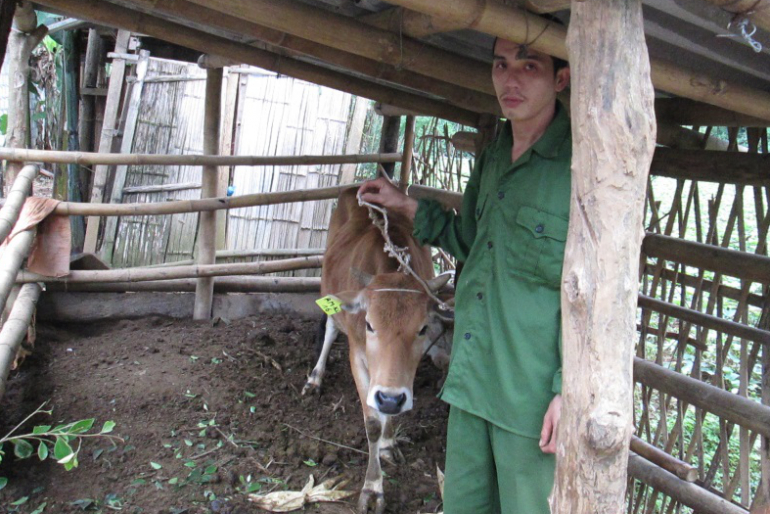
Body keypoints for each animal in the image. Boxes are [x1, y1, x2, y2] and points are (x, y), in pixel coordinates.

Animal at [302, 188, 448, 512]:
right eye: (369, 324)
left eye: (423, 328)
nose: (389, 398)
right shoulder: (358, 354)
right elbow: (371, 422)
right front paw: (372, 489)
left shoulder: (402, 373)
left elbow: (389, 412)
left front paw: (389, 443)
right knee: (330, 328)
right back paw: (315, 378)